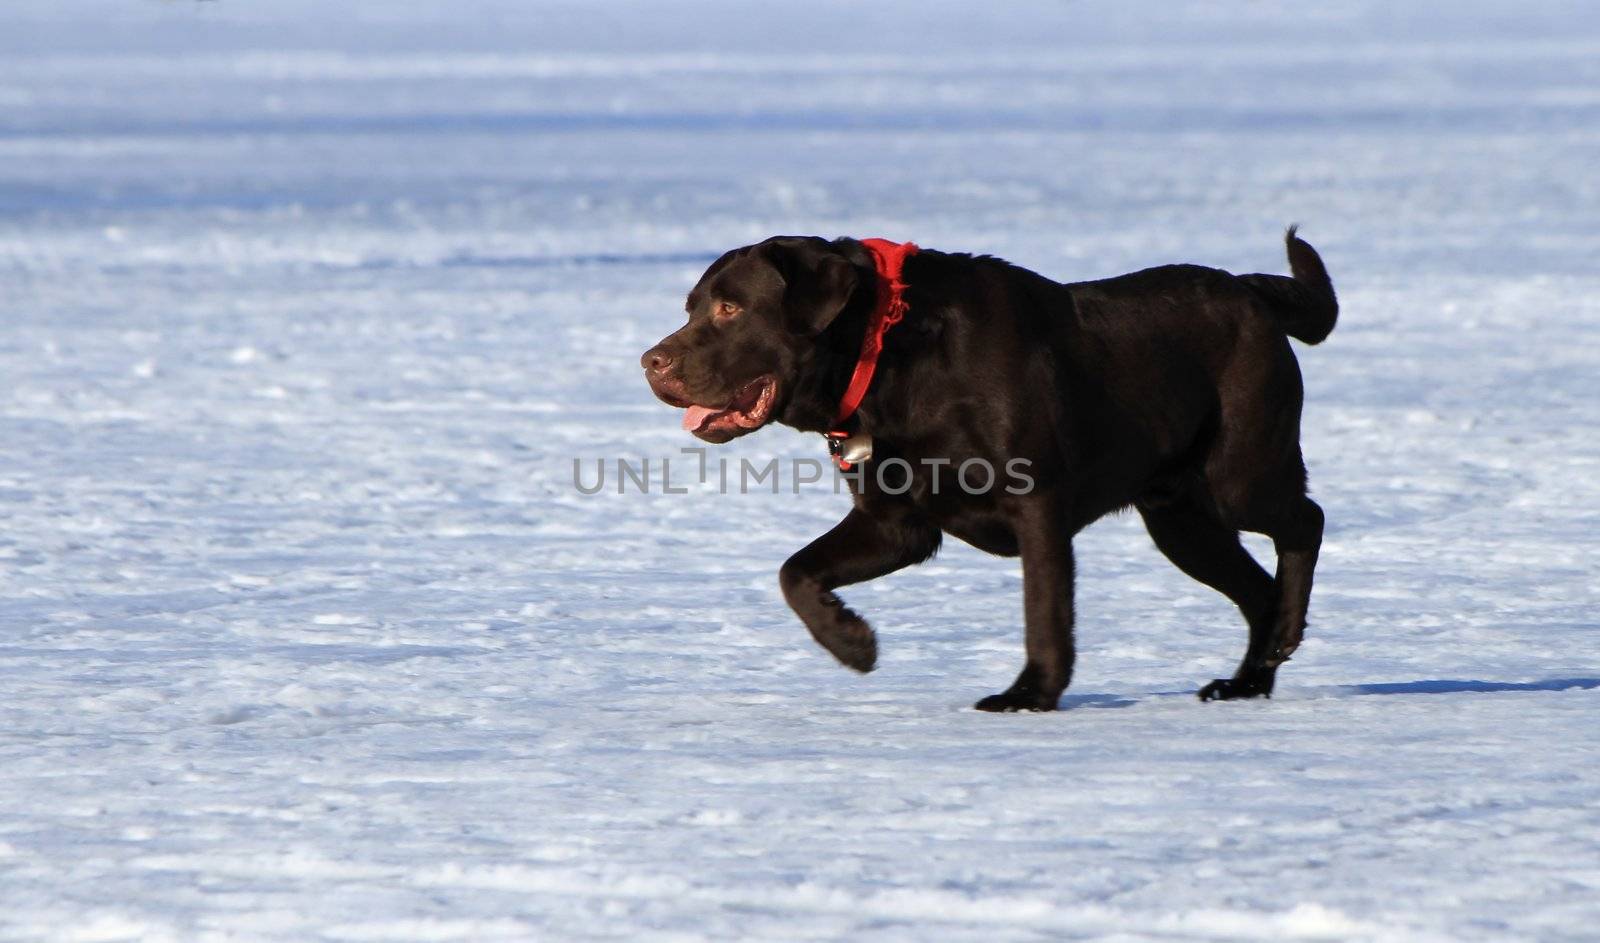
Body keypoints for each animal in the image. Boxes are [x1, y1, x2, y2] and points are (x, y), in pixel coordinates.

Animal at [643, 232, 1331, 710]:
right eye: (690, 307)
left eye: (730, 309)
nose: (651, 361)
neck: (884, 354)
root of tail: (1251, 291)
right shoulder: (895, 523)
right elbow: (795, 573)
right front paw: (854, 644)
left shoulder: (1037, 504)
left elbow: (1045, 610)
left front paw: (1030, 694)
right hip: (1180, 518)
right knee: (1256, 590)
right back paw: (1248, 680)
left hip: (1239, 474)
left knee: (1306, 522)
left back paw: (1282, 636)